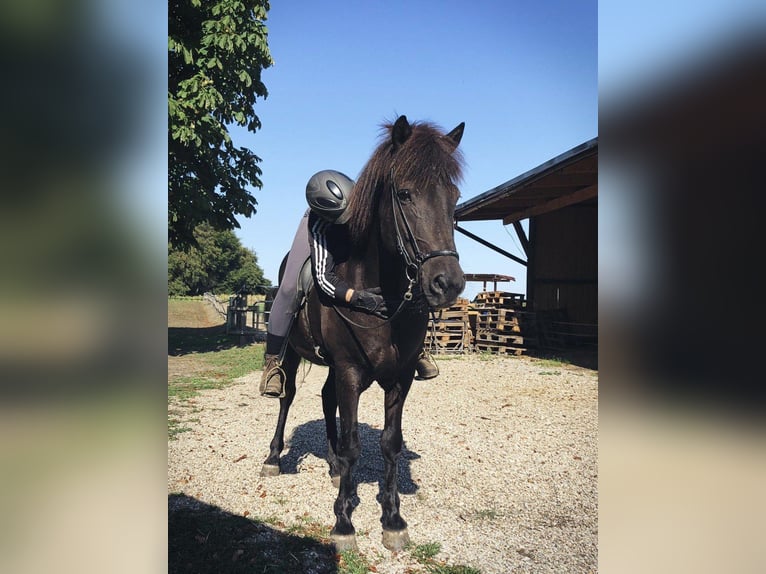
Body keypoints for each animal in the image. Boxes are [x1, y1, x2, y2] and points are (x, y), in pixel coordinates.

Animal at [260, 115, 466, 552]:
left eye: (454, 197)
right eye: (404, 194)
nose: (448, 283)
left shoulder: (399, 377)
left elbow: (390, 442)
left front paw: (392, 518)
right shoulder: (351, 372)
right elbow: (355, 443)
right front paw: (343, 523)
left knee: (325, 399)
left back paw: (335, 467)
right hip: (294, 354)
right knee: (287, 397)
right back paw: (273, 458)